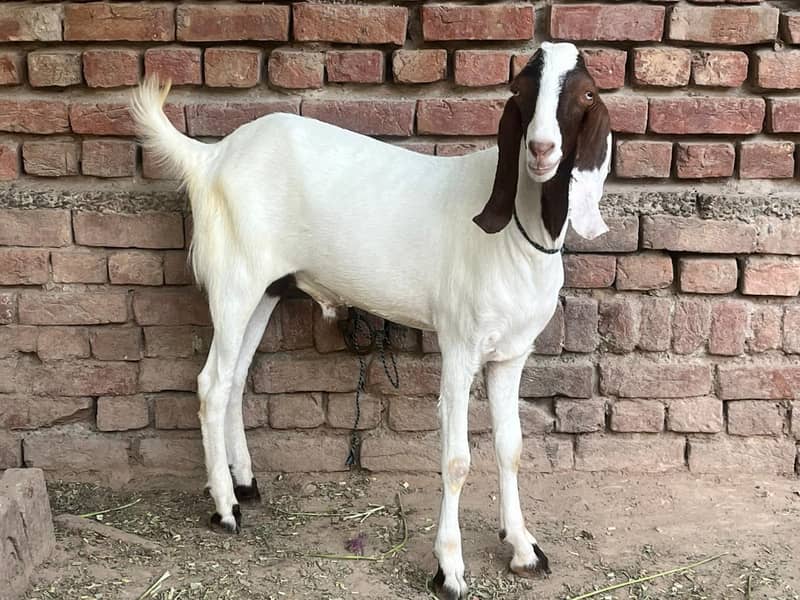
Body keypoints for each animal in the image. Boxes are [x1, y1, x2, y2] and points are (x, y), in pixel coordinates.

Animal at [131, 41, 611, 600]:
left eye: (586, 94)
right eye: (521, 90)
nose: (540, 149)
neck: (515, 232)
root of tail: (210, 158)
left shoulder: (511, 353)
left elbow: (510, 447)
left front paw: (522, 548)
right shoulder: (460, 343)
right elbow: (456, 459)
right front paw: (449, 568)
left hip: (267, 289)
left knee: (235, 379)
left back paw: (245, 484)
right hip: (235, 281)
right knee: (211, 382)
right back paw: (225, 509)